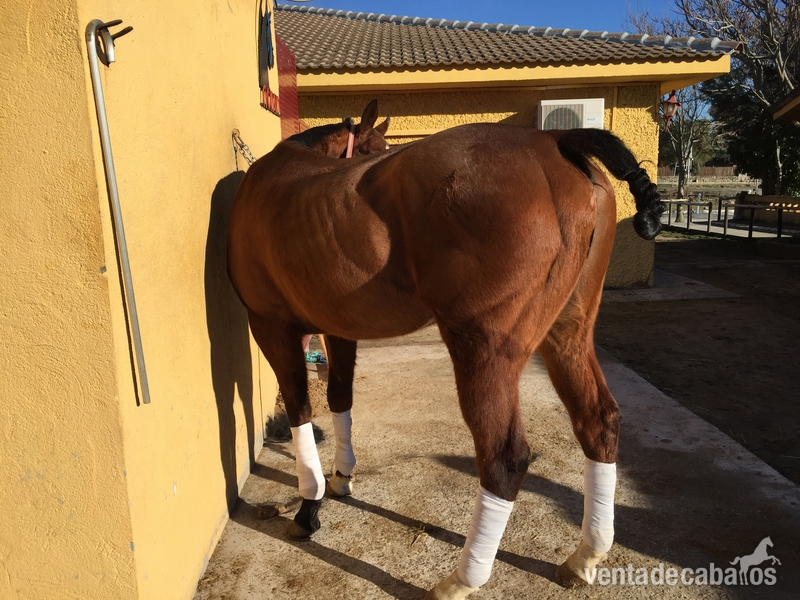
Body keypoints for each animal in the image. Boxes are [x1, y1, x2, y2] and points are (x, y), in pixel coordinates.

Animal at [227, 99, 664, 599]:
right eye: (371, 151)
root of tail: (554, 142)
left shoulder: (271, 327)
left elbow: (300, 411)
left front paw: (309, 504)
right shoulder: (337, 328)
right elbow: (339, 400)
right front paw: (341, 477)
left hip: (483, 351)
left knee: (504, 458)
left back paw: (461, 580)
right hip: (568, 335)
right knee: (598, 423)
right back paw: (585, 557)